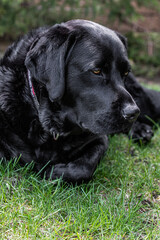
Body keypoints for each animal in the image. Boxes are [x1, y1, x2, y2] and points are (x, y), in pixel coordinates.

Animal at [0, 20, 160, 183]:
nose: (133, 112)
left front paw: (54, 172)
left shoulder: (99, 138)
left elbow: (85, 167)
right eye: (96, 71)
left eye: (125, 72)